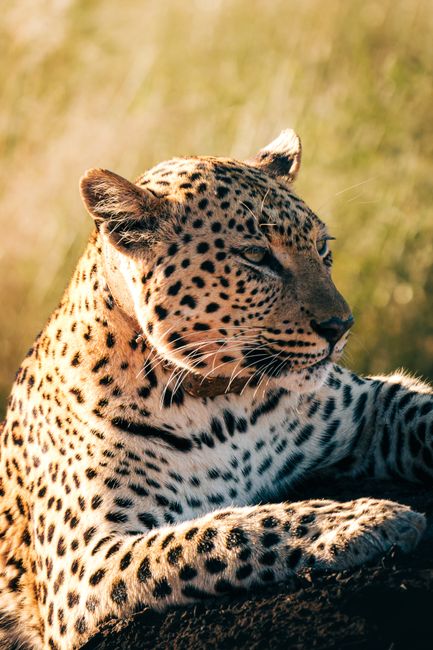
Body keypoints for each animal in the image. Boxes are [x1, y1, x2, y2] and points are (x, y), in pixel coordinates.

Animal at [1, 129, 432, 649]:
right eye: (256, 256)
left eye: (322, 248)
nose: (341, 326)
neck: (223, 406)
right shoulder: (85, 565)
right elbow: (224, 532)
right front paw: (363, 520)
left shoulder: (369, 405)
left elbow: (423, 412)